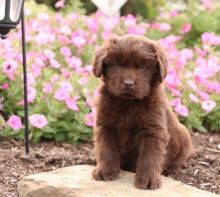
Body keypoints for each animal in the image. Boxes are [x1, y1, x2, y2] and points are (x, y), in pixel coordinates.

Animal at [92, 34, 192, 190]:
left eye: (143, 67)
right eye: (116, 65)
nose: (128, 83)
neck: (128, 103)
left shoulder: (153, 130)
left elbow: (149, 156)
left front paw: (148, 180)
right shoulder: (105, 125)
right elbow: (106, 149)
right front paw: (104, 171)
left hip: (184, 138)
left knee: (177, 162)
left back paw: (171, 171)